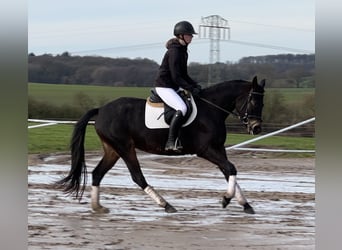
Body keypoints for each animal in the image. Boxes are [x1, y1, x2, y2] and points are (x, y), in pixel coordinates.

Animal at [56, 75, 266, 214]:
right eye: (254, 102)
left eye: (262, 104)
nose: (256, 128)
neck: (211, 109)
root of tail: (101, 110)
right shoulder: (206, 150)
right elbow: (230, 168)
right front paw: (226, 200)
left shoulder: (219, 149)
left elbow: (228, 171)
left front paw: (245, 204)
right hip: (125, 147)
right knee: (137, 177)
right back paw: (166, 205)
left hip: (112, 150)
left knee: (98, 173)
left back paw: (97, 207)